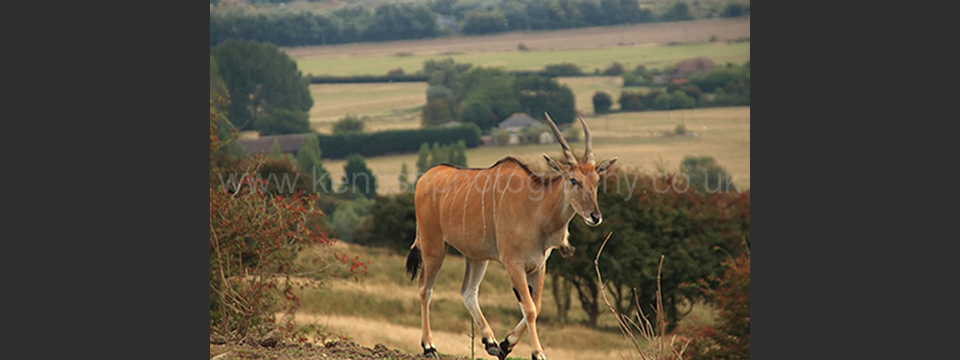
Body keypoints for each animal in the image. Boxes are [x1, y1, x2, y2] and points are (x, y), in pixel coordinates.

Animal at [404, 113, 616, 360]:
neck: (536, 210)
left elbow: (535, 307)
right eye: (573, 180)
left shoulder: (538, 267)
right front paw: (537, 353)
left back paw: (490, 341)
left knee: (468, 291)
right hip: (434, 247)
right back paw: (429, 346)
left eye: (596, 181)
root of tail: (424, 178)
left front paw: (506, 344)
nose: (595, 216)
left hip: (476, 257)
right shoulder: (514, 265)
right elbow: (530, 309)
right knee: (424, 290)